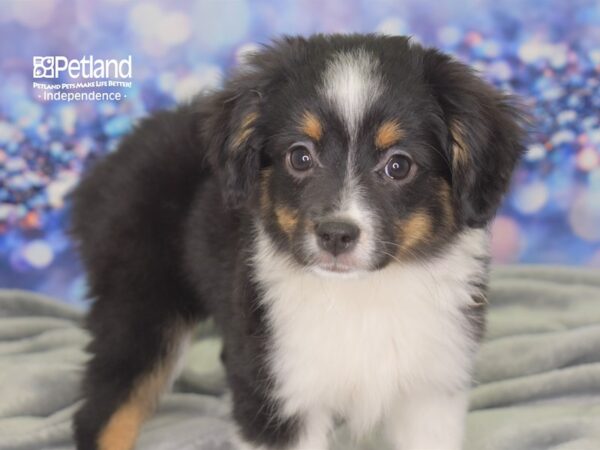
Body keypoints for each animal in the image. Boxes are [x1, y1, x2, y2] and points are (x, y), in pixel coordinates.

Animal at [71, 33, 524, 448]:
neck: (361, 298)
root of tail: (106, 168)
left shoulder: (431, 390)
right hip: (141, 304)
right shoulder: (278, 393)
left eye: (399, 165)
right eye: (300, 156)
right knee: (102, 412)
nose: (336, 234)